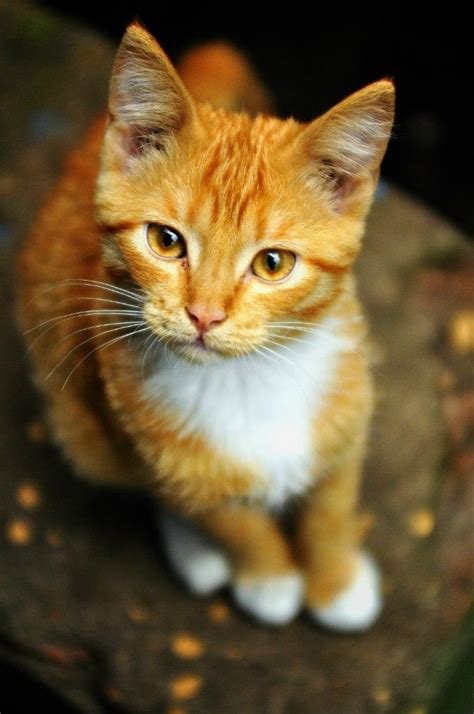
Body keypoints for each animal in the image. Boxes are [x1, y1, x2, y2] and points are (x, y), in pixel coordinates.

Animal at [16, 25, 394, 628]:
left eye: (273, 263)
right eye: (165, 241)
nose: (205, 315)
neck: (248, 378)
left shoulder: (350, 413)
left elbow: (332, 504)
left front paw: (335, 580)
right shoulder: (139, 440)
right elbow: (223, 515)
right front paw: (268, 575)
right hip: (75, 421)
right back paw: (195, 554)